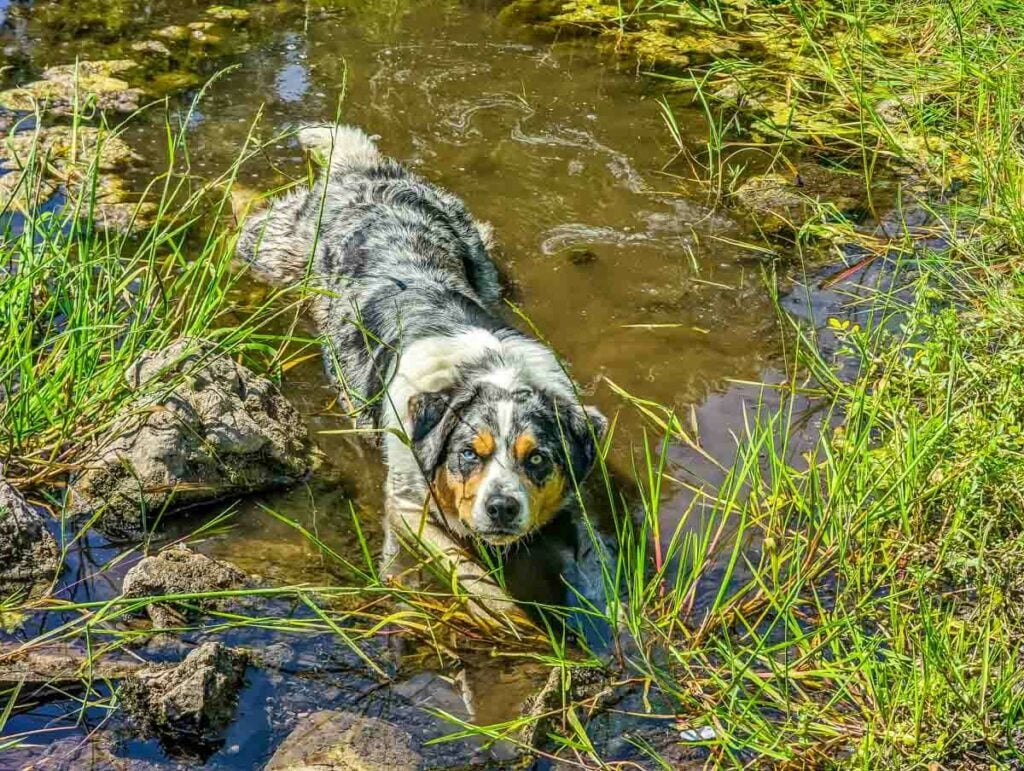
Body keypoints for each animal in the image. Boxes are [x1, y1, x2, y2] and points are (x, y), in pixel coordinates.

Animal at [237, 123, 606, 622]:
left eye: (537, 459)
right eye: (468, 453)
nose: (502, 507)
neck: (489, 368)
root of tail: (363, 170)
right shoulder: (408, 503)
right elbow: (463, 568)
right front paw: (505, 618)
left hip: (477, 247)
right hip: (271, 247)